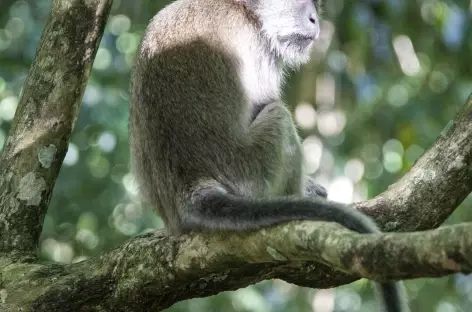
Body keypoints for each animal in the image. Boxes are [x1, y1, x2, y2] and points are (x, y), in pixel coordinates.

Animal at [129, 0, 410, 312]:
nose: (315, 20)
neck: (244, 10)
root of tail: (191, 185)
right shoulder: (258, 48)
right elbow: (264, 101)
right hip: (252, 175)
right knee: (278, 115)